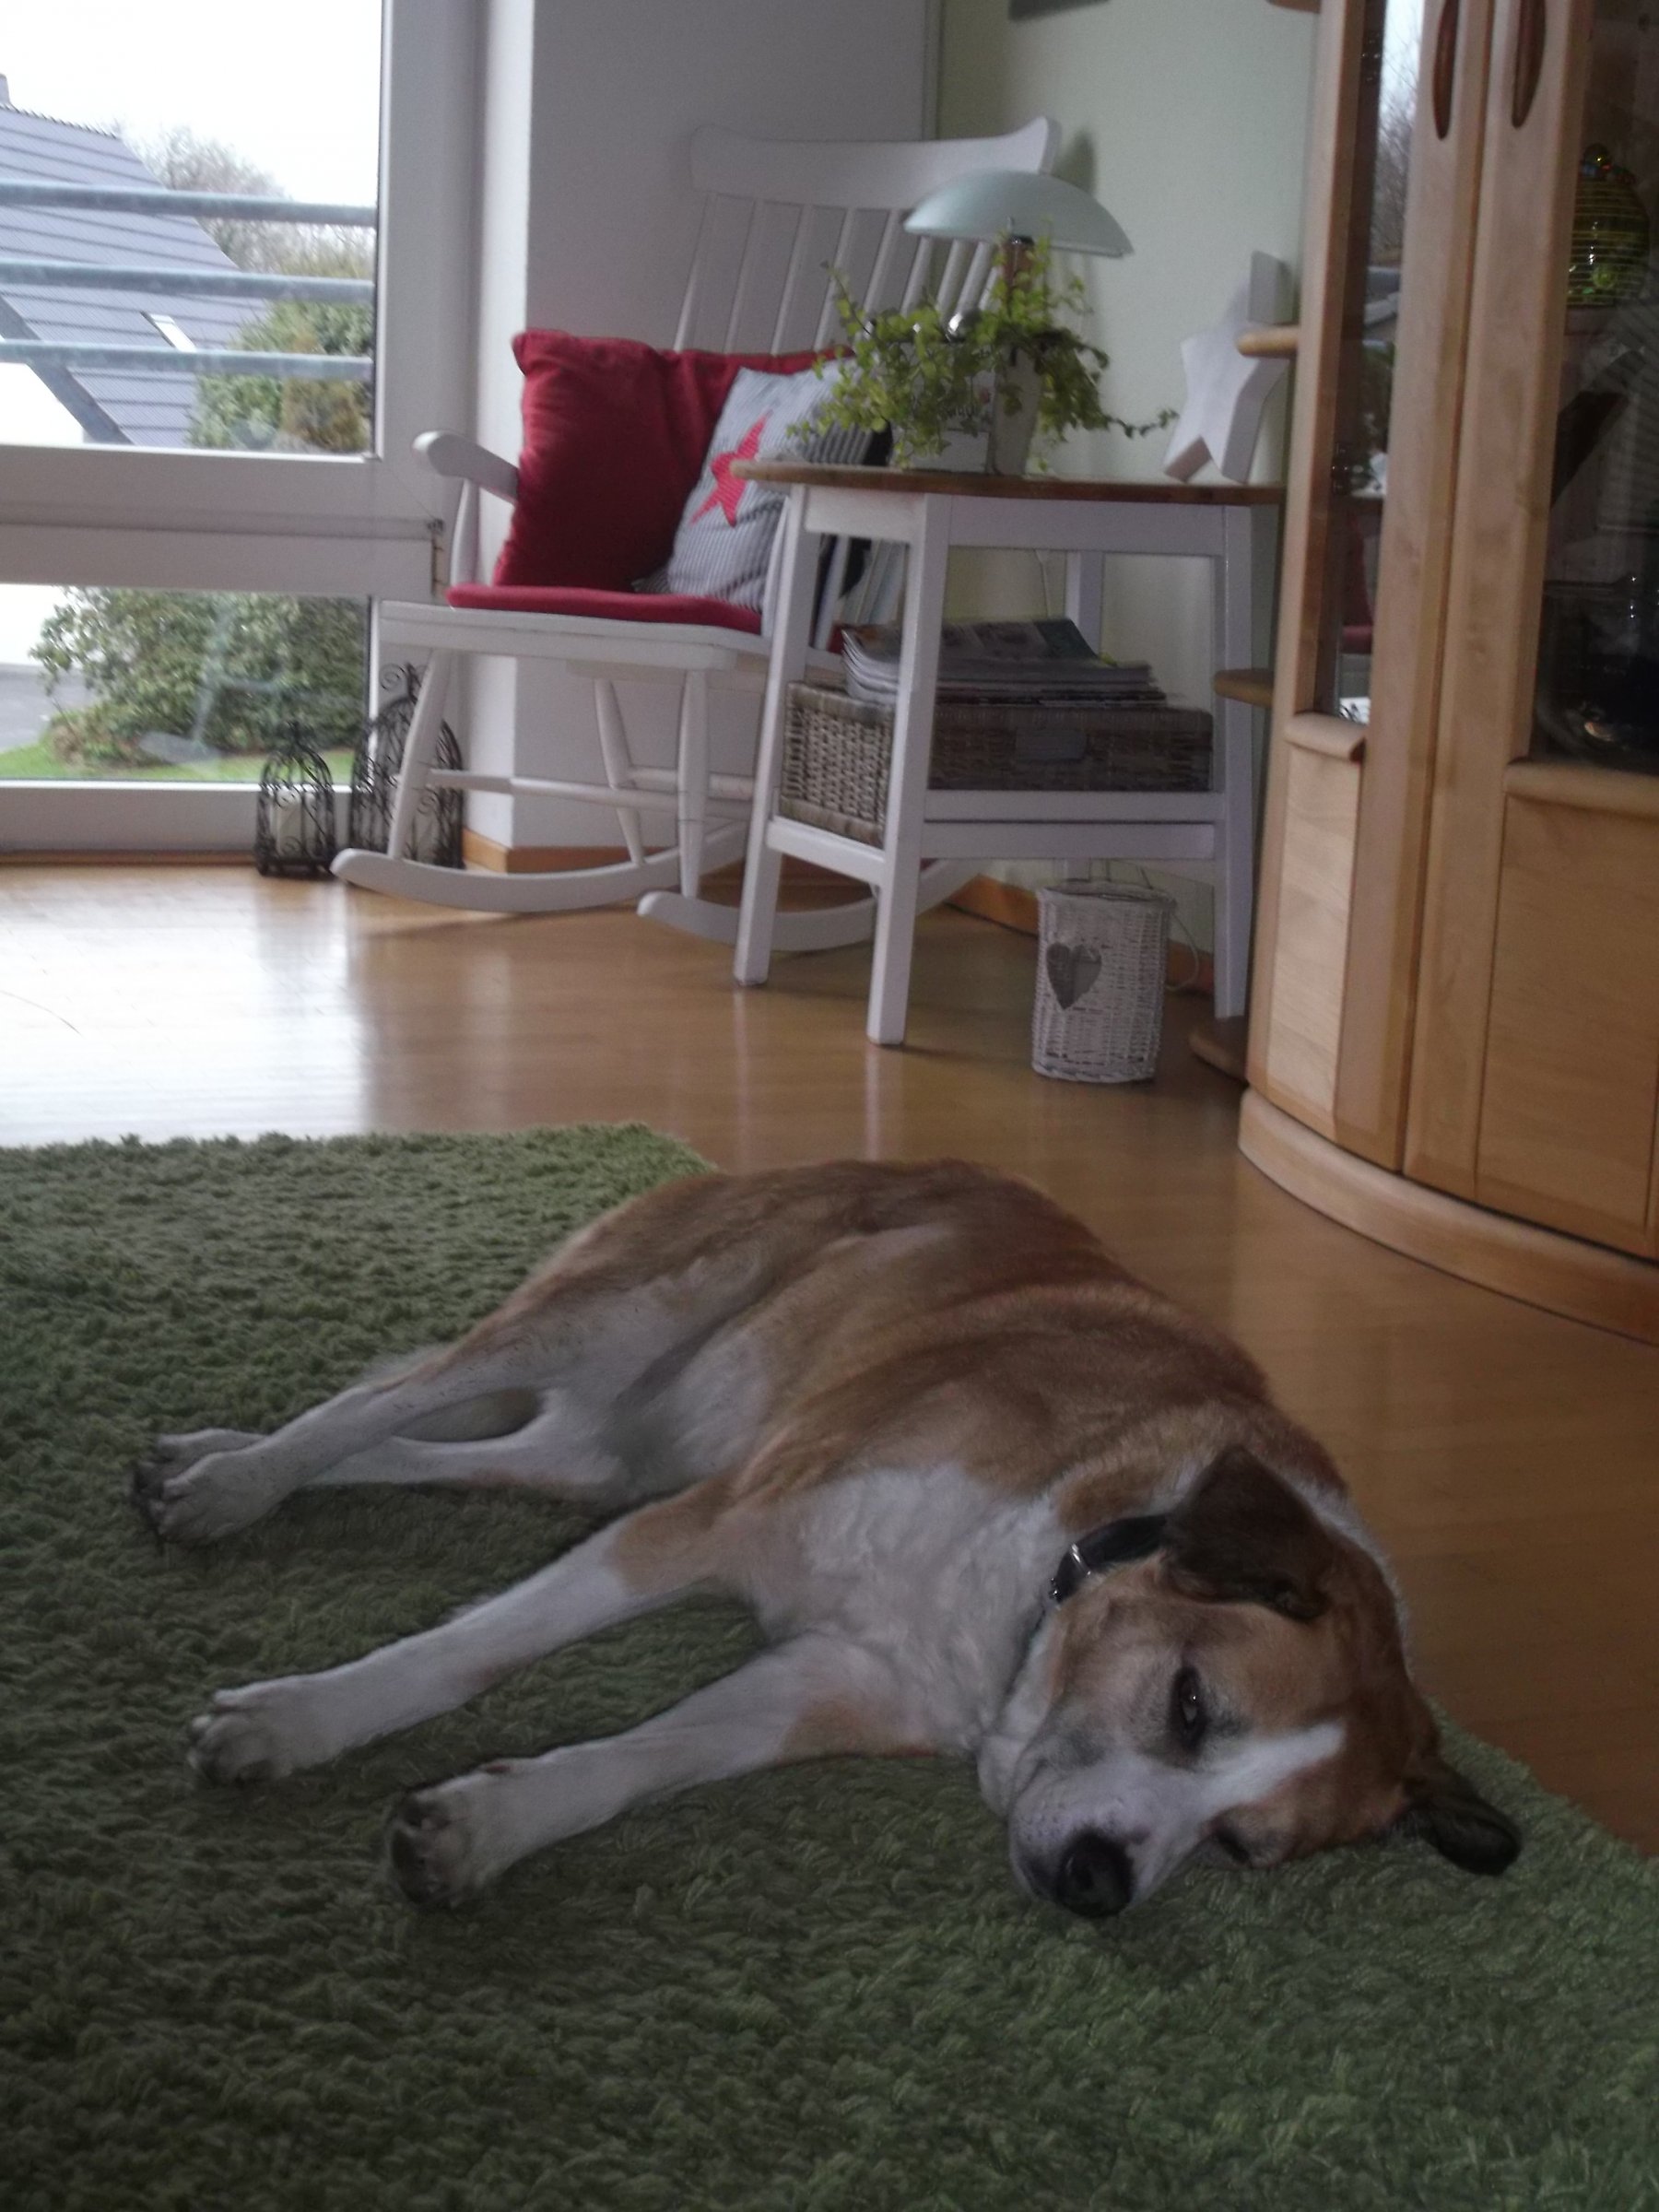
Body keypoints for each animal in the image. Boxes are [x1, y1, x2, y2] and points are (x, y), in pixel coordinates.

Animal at [132, 1158, 1519, 1916]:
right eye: (1190, 1706)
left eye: (1240, 1848)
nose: (1100, 1889)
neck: (1034, 1586)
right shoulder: (706, 1525)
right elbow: (462, 1654)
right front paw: (297, 1722)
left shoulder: (825, 1677)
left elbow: (642, 1762)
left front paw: (488, 1828)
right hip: (624, 1310)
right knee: (376, 1402)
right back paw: (237, 1482)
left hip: (603, 1458)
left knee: (456, 1447)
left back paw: (192, 1458)